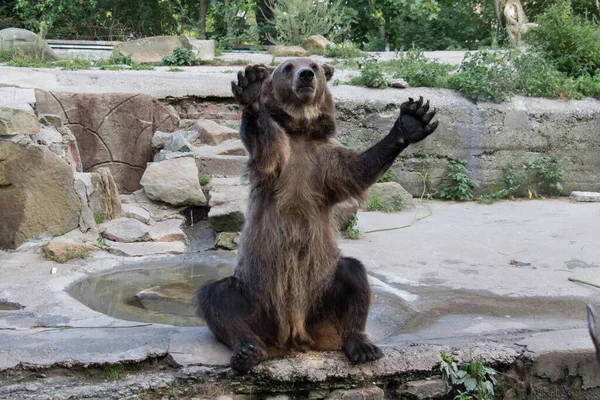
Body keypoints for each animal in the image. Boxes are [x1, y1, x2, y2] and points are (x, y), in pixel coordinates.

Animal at [195, 58, 438, 372]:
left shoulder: (323, 164)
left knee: (352, 275)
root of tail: (293, 336)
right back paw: (247, 349)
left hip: (321, 295)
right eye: (288, 66)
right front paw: (251, 89)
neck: (300, 132)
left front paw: (411, 121)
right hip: (256, 297)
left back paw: (361, 345)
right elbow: (265, 146)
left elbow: (356, 170)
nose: (306, 75)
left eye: (314, 66)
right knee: (218, 297)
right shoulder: (279, 161)